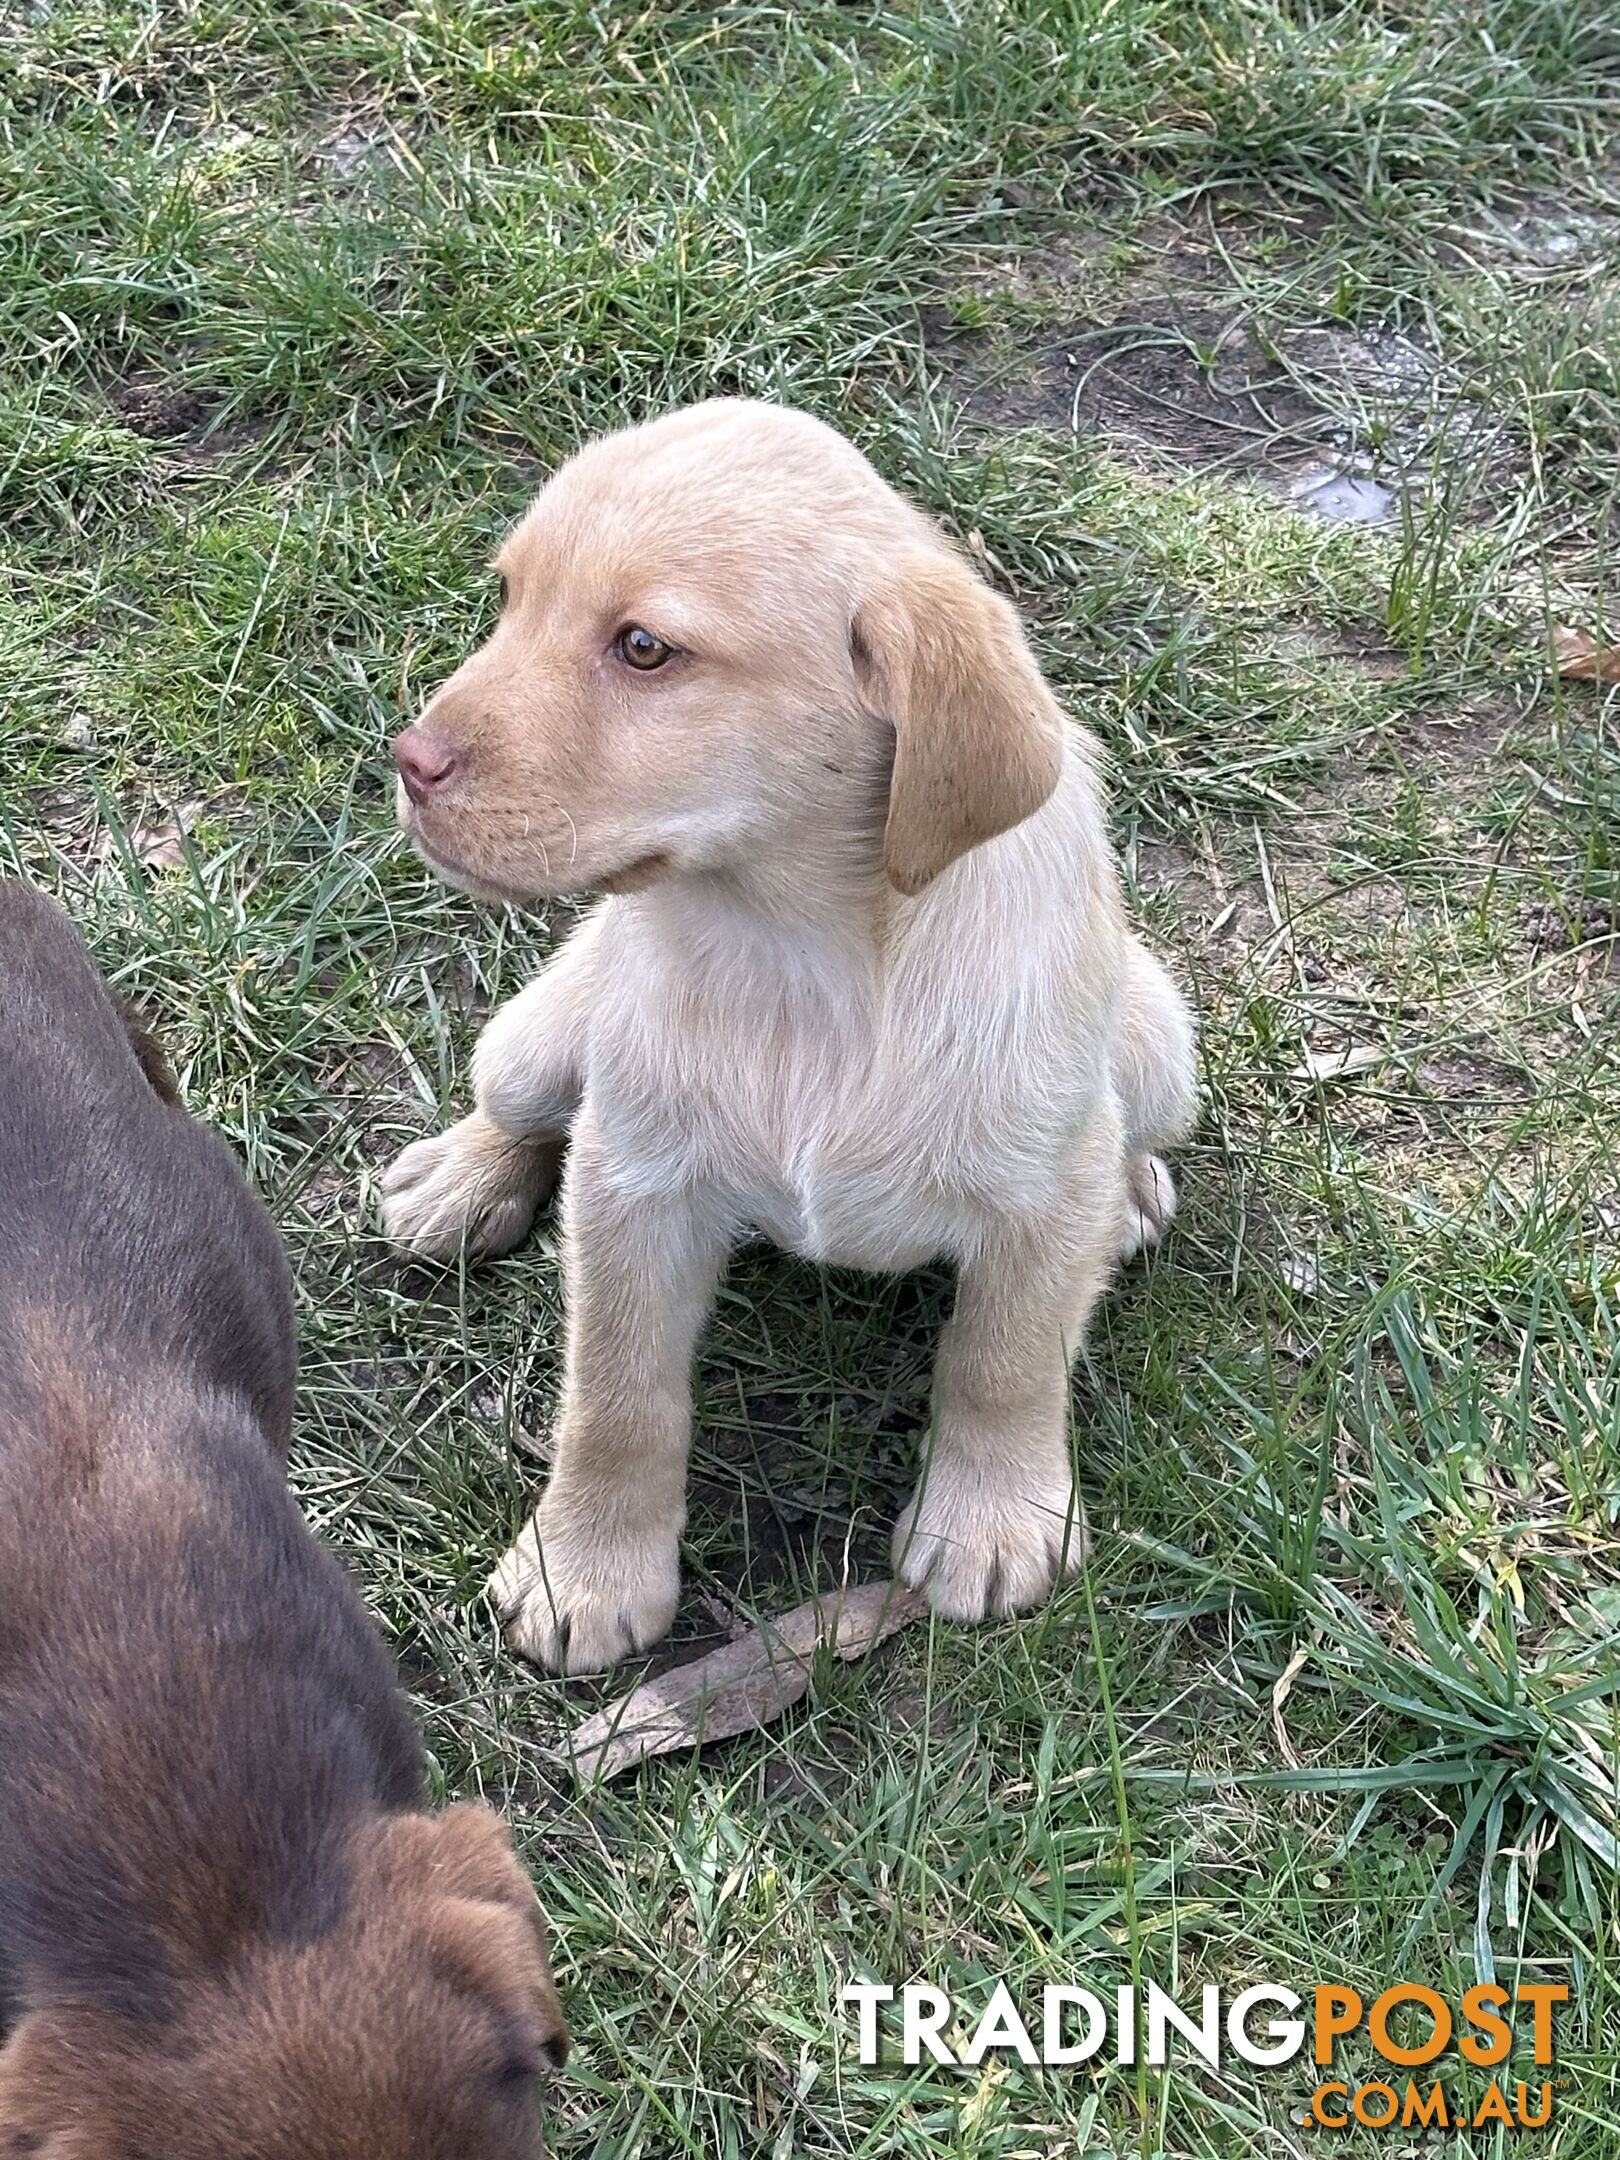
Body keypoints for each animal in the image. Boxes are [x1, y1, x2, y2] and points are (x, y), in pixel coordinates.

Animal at [380, 401, 1192, 1667]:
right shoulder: (635, 1182)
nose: (408, 763)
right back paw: (460, 1181)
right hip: (539, 1035)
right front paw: (584, 1569)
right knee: (516, 1107)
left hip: (1160, 1047)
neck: (802, 955)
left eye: (644, 649)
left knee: (1128, 1133)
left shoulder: (1042, 1193)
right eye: (508, 599)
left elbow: (1005, 1362)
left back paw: (1138, 1189)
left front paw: (991, 1520)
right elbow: (616, 1397)